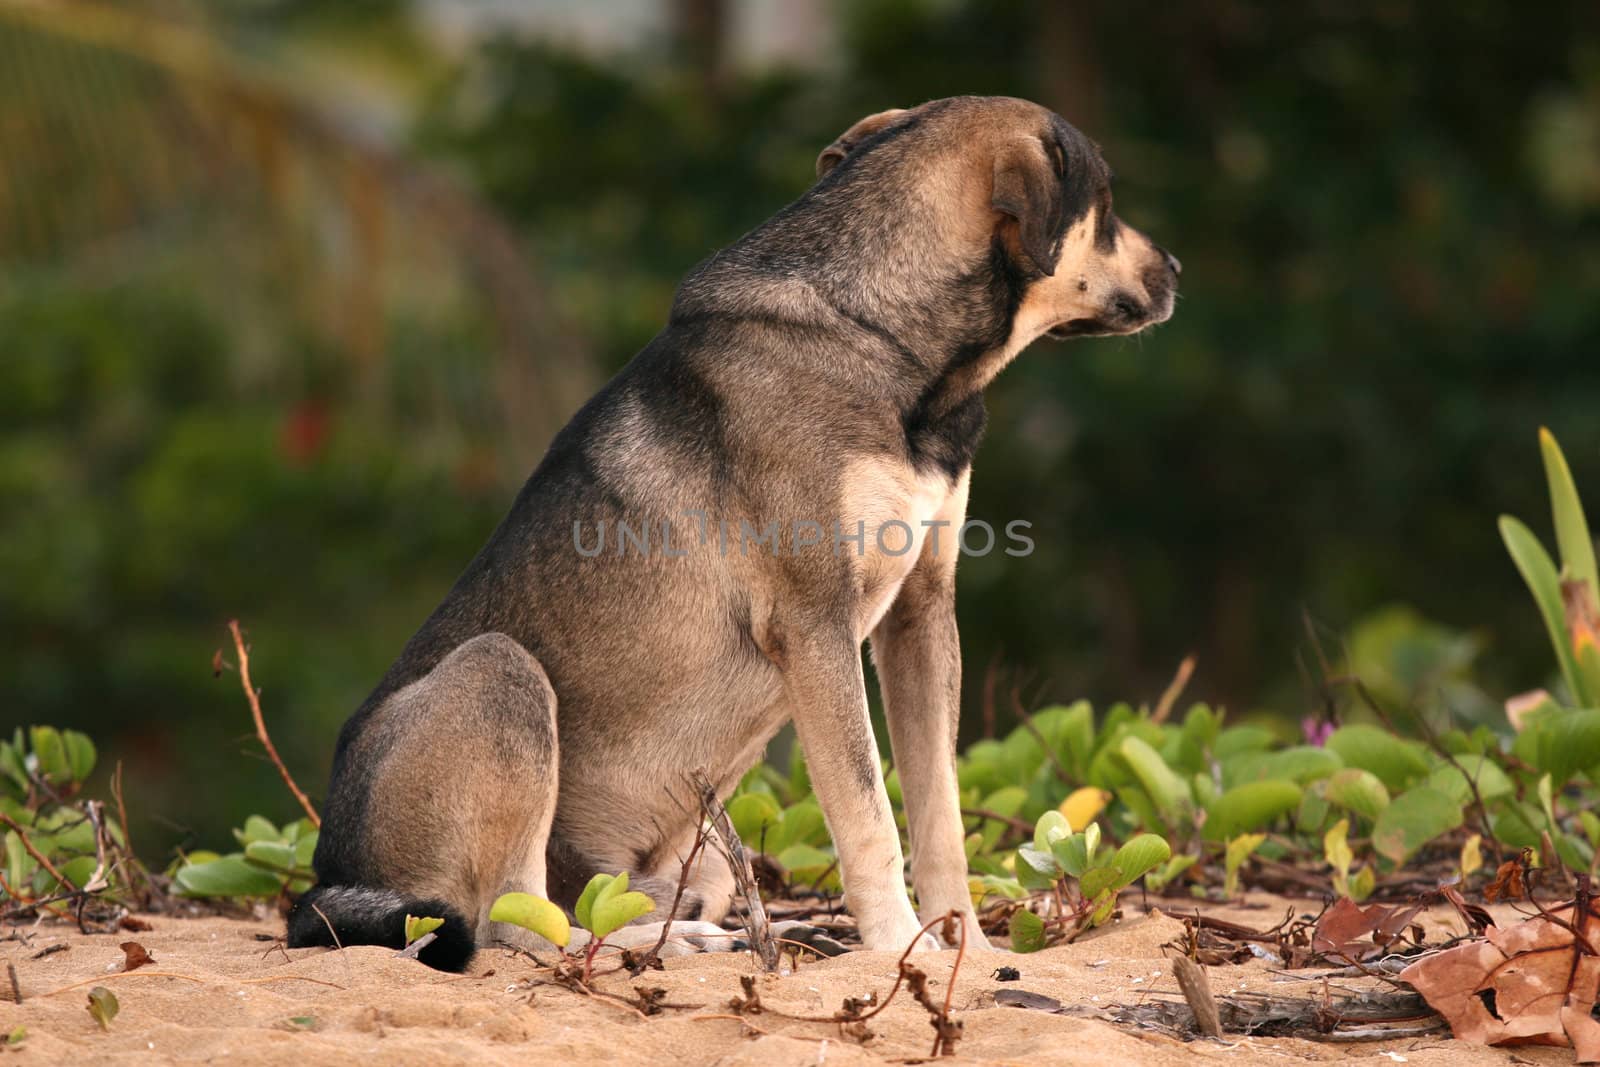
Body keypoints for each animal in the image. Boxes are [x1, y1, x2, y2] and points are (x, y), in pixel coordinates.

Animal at [288, 95, 1177, 972]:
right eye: (1106, 204)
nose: (1175, 268)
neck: (878, 332)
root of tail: (332, 876)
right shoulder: (817, 625)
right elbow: (867, 816)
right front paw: (900, 948)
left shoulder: (919, 614)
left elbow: (939, 815)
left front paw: (967, 944)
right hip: (498, 675)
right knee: (516, 925)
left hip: (704, 852)